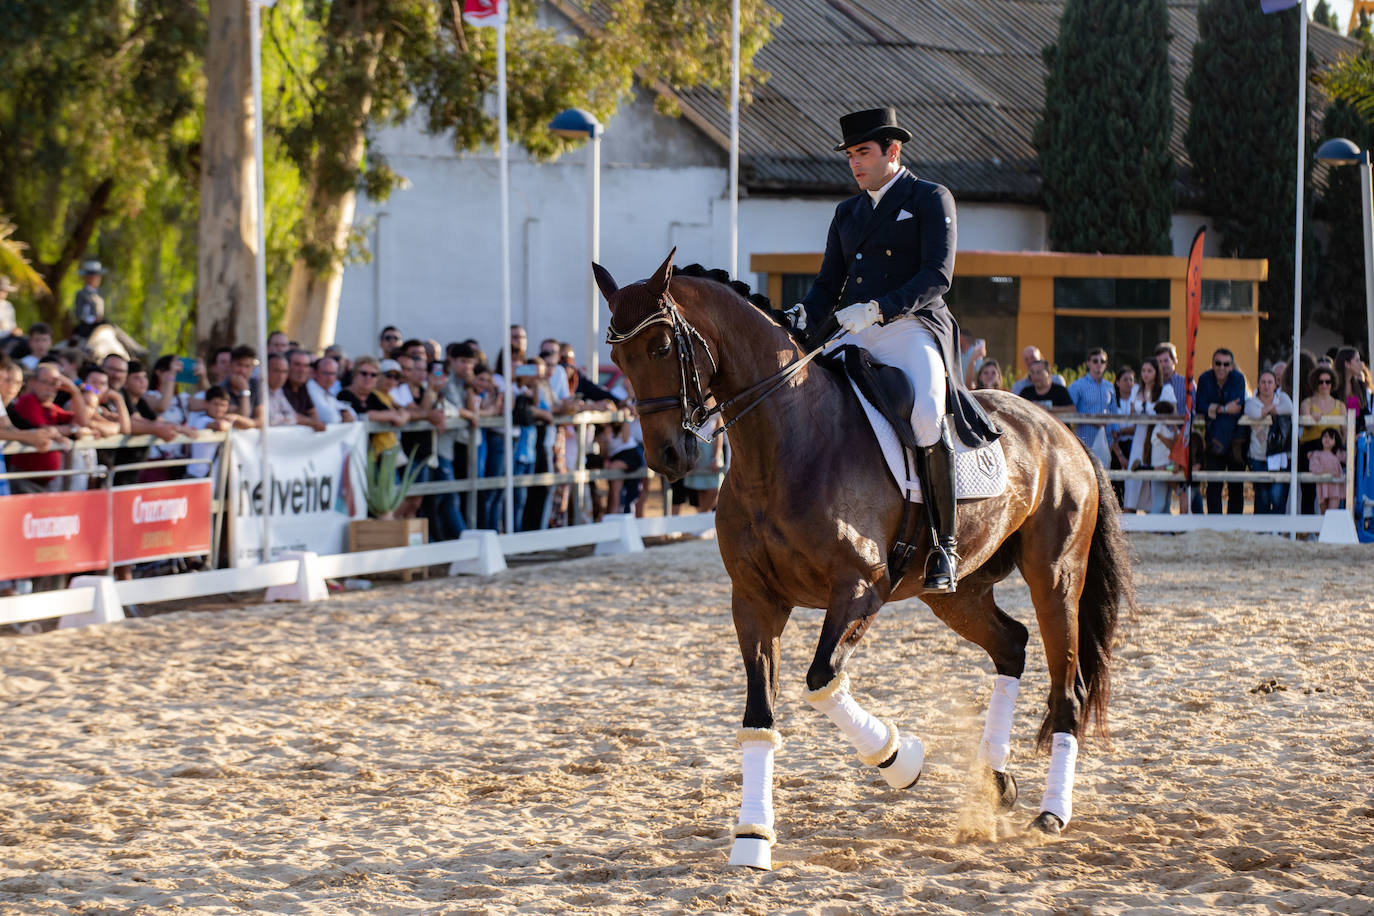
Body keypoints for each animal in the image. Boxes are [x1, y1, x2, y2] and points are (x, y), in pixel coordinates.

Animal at [596, 252, 1132, 873]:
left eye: (661, 347)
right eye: (617, 358)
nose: (668, 457)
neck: (786, 443)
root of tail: (1061, 431)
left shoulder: (859, 590)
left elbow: (822, 680)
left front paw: (902, 759)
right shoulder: (753, 600)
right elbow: (760, 715)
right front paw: (752, 838)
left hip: (1055, 578)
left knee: (1067, 687)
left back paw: (1052, 813)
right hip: (957, 593)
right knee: (1012, 646)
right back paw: (998, 783)